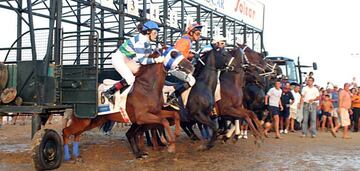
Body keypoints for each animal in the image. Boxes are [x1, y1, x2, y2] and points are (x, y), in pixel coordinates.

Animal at [63, 46, 195, 160]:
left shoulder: (156, 112)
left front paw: (175, 135)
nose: (191, 66)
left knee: (76, 134)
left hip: (94, 121)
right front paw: (168, 143)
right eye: (173, 54)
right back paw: (67, 156)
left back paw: (77, 156)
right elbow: (164, 122)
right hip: (84, 120)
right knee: (66, 132)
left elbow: (174, 115)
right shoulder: (142, 117)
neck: (147, 87)